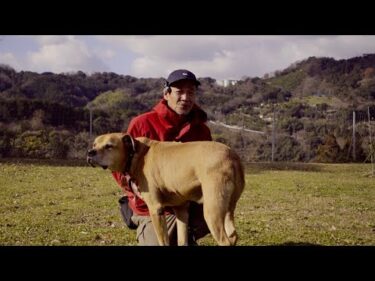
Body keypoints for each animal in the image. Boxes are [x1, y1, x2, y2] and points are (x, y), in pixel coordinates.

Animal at [88, 132, 247, 244]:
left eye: (109, 146)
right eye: (94, 145)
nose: (90, 152)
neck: (136, 153)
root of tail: (233, 156)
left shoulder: (156, 209)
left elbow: (163, 240)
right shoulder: (181, 209)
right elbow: (182, 240)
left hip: (211, 211)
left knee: (225, 240)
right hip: (228, 209)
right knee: (233, 235)